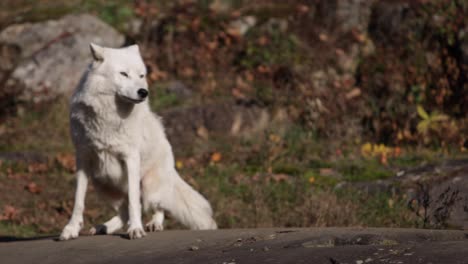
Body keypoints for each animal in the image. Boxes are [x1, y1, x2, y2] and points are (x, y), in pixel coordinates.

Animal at [59, 43, 218, 241]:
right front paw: (71, 229)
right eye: (124, 74)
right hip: (102, 185)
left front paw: (136, 229)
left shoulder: (131, 159)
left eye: (141, 76)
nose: (144, 92)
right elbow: (78, 201)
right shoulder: (82, 159)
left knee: (155, 206)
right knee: (124, 212)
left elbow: (135, 203)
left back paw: (154, 224)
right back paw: (104, 227)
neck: (110, 117)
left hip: (149, 186)